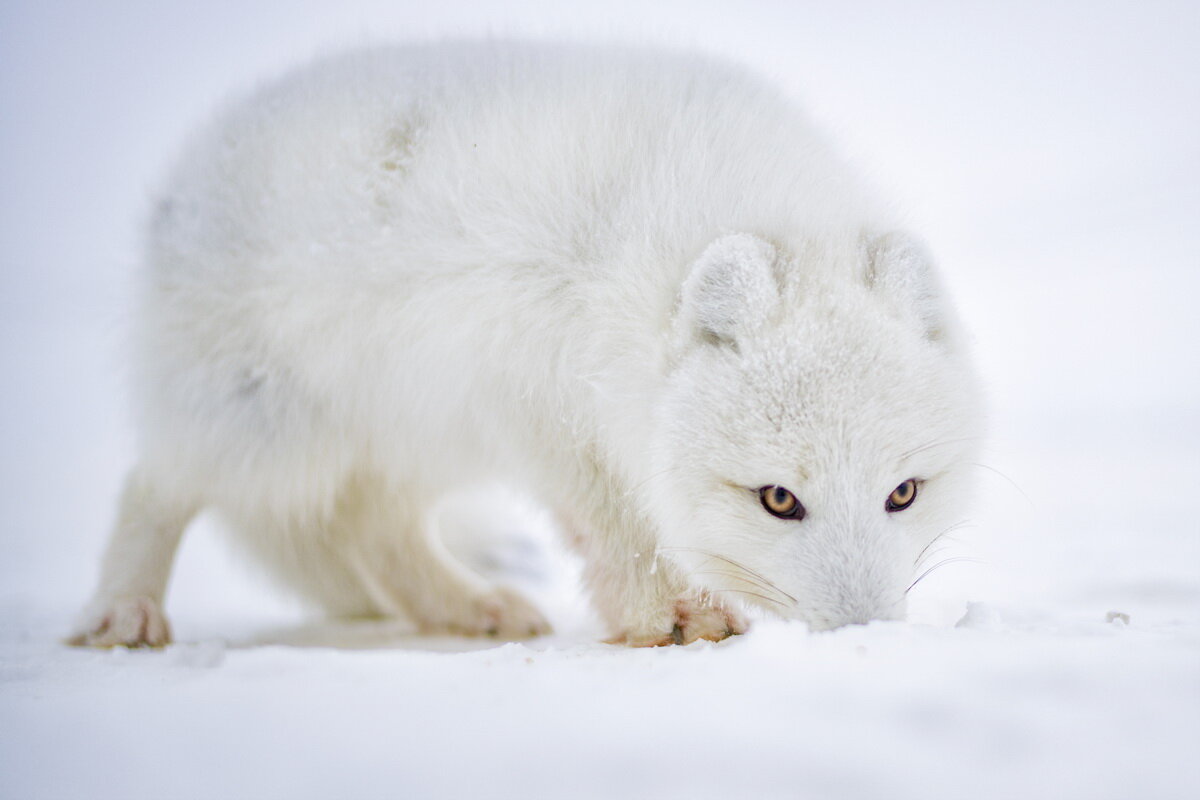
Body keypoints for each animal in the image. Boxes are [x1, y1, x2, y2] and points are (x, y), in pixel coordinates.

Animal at [70, 40, 979, 647]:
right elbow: (617, 522)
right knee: (155, 484)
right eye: (779, 499)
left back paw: (470, 607)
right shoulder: (538, 405)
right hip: (265, 427)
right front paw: (669, 613)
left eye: (904, 493)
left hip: (408, 431)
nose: (866, 635)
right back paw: (123, 612)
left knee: (373, 531)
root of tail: (182, 186)